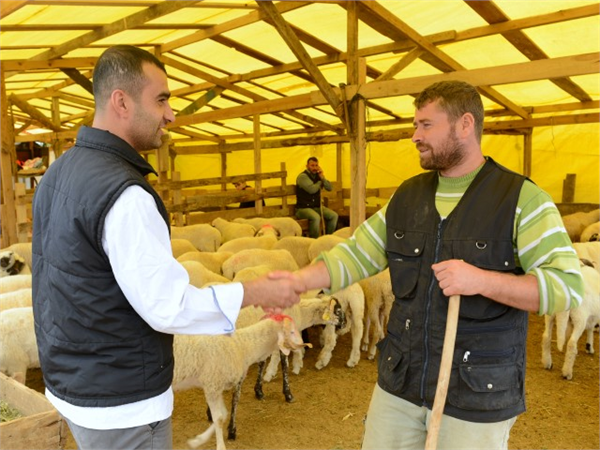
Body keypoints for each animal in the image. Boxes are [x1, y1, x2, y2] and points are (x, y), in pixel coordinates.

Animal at [171, 312, 308, 450]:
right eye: (291, 331)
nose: (303, 346)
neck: (241, 345)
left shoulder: (217, 386)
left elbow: (224, 414)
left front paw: (198, 440)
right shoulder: (212, 385)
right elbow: (218, 418)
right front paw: (221, 446)